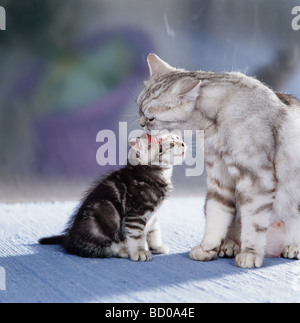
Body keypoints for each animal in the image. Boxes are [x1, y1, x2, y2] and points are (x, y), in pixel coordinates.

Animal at [39, 133, 186, 262]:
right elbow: (137, 236)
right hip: (100, 223)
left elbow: (154, 231)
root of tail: (69, 237)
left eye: (178, 138)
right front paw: (139, 252)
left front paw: (157, 246)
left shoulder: (152, 215)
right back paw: (123, 250)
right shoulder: (136, 215)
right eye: (171, 144)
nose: (183, 143)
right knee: (101, 249)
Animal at [137, 54, 300, 270]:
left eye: (150, 118)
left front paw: (250, 253)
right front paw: (208, 248)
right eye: (138, 109)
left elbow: (253, 224)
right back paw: (228, 246)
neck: (214, 127)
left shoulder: (256, 179)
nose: (141, 123)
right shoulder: (219, 177)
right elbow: (217, 216)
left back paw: (293, 247)